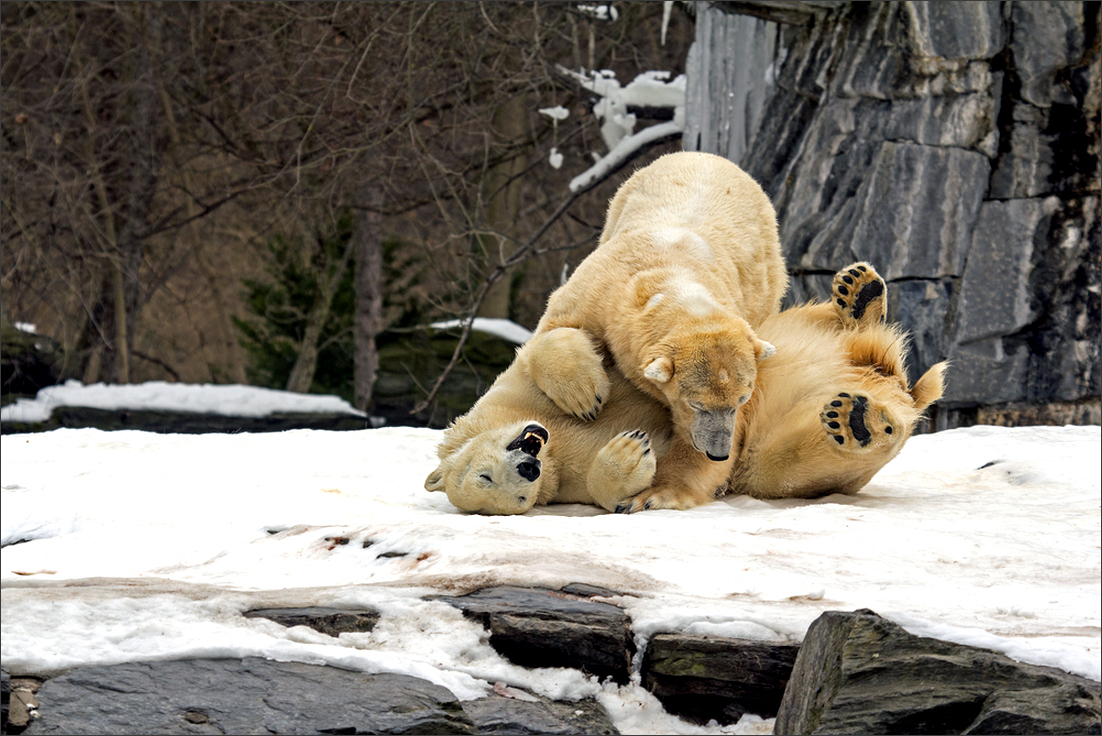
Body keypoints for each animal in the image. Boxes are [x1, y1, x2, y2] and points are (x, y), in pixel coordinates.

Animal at [528, 153, 789, 515]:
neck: (670, 273)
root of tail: (709, 156)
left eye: (740, 399)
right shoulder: (601, 289)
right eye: (695, 403)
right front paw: (586, 399)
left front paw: (650, 494)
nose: (717, 452)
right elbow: (556, 325)